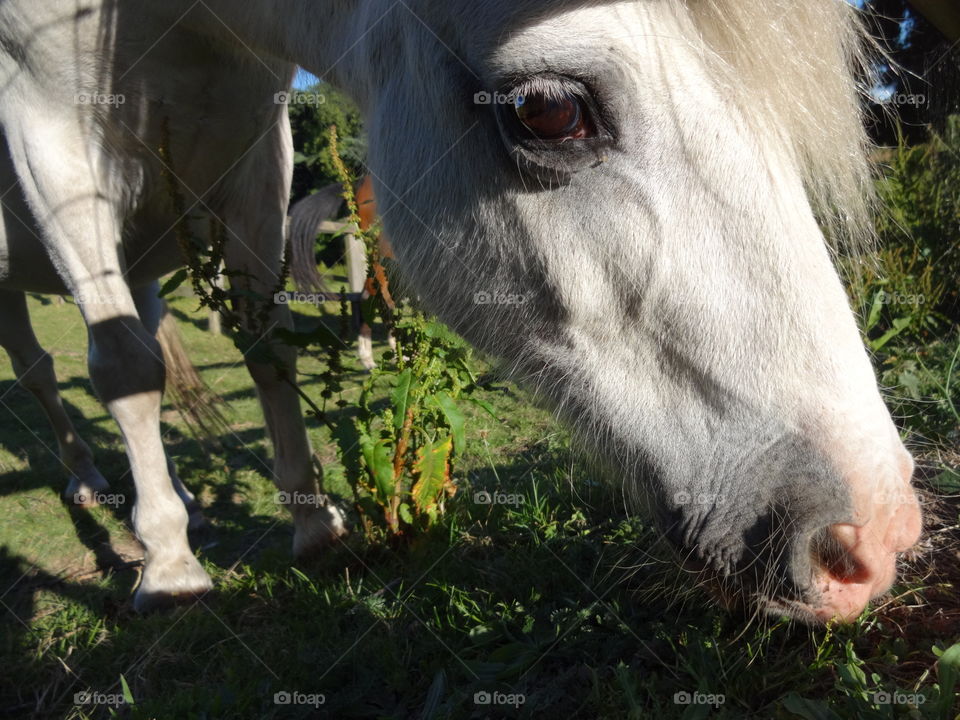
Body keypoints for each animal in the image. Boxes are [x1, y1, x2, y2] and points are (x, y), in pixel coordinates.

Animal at [0, 0, 928, 624]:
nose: (874, 538)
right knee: (48, 370)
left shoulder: (257, 152)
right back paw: (95, 486)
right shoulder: (51, 143)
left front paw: (310, 523)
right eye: (549, 109)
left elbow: (265, 348)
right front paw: (169, 567)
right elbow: (123, 366)